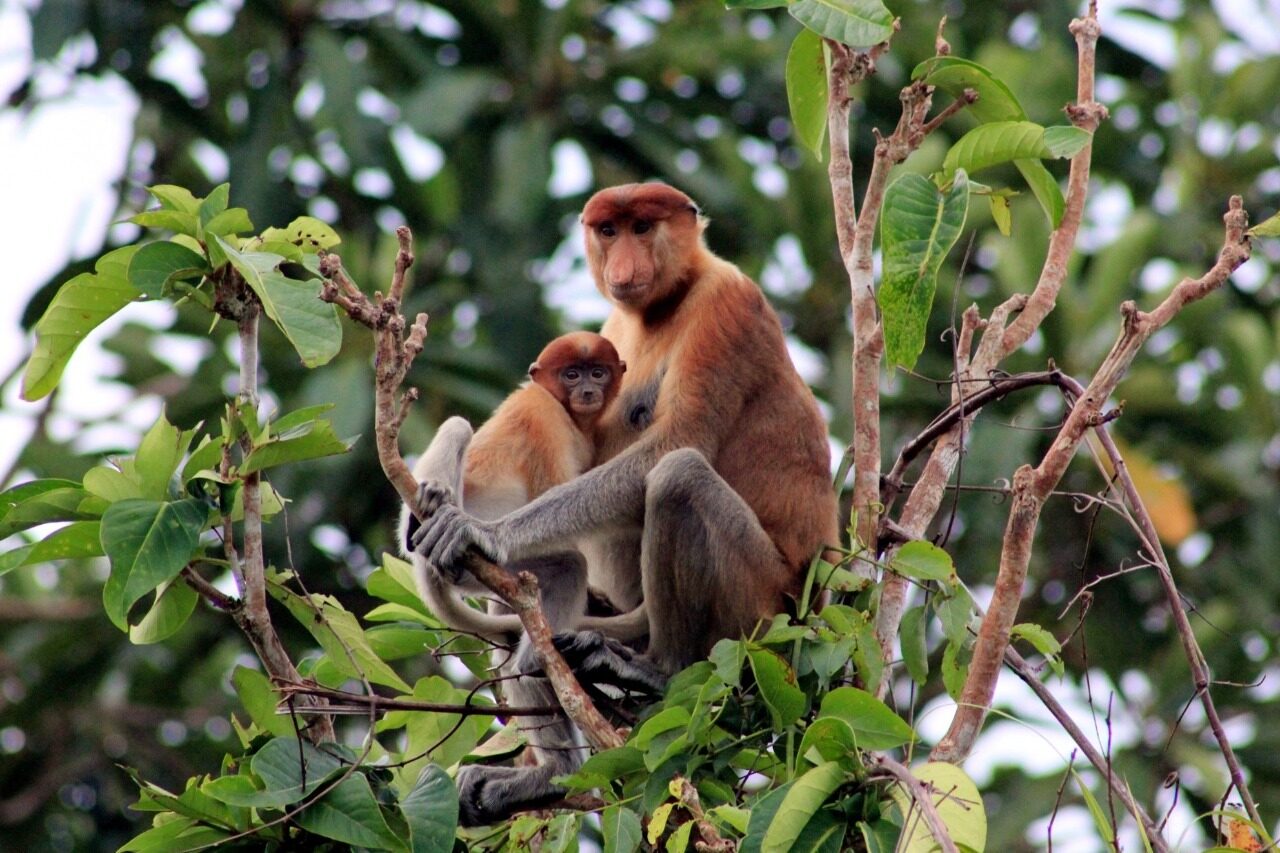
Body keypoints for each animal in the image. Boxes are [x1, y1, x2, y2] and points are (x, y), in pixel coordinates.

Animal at [411, 182, 839, 824]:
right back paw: (549, 769)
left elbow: (672, 443)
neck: (670, 299)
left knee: (678, 477)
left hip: (762, 605)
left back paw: (652, 670)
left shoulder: (728, 309)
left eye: (642, 226)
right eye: (607, 231)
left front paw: (479, 533)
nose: (623, 267)